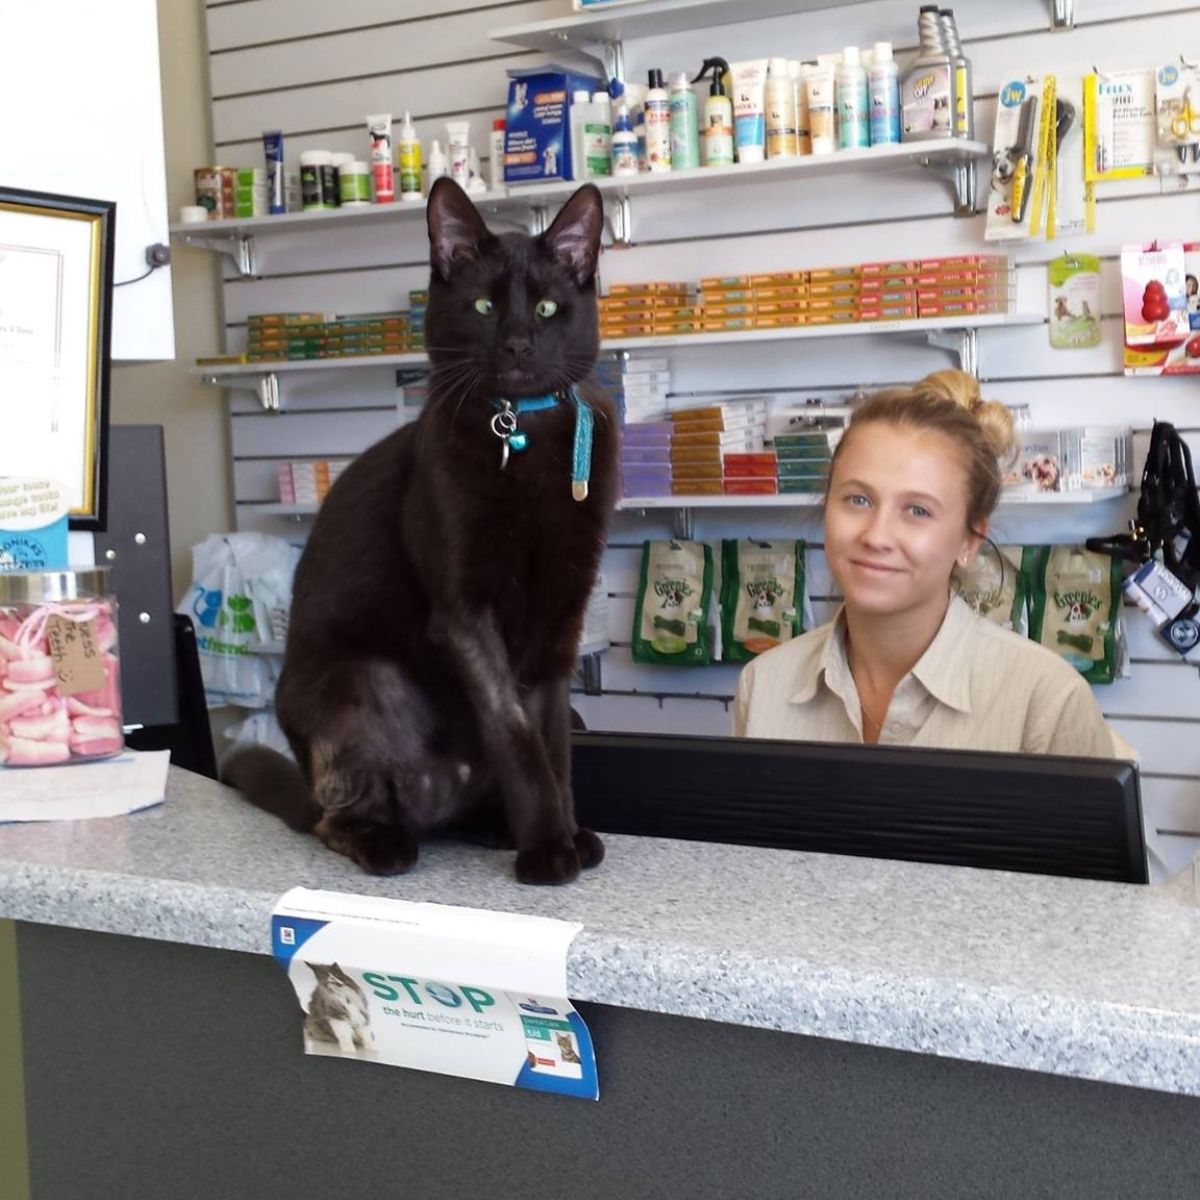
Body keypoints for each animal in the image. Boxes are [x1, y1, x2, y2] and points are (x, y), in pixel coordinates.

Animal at [223, 182, 619, 888]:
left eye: (547, 307)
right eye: (484, 305)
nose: (518, 344)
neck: (522, 434)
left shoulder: (560, 616)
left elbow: (552, 738)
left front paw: (568, 832)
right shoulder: (466, 615)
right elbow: (517, 735)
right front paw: (549, 848)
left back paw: (494, 827)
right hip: (361, 682)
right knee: (337, 818)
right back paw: (386, 840)